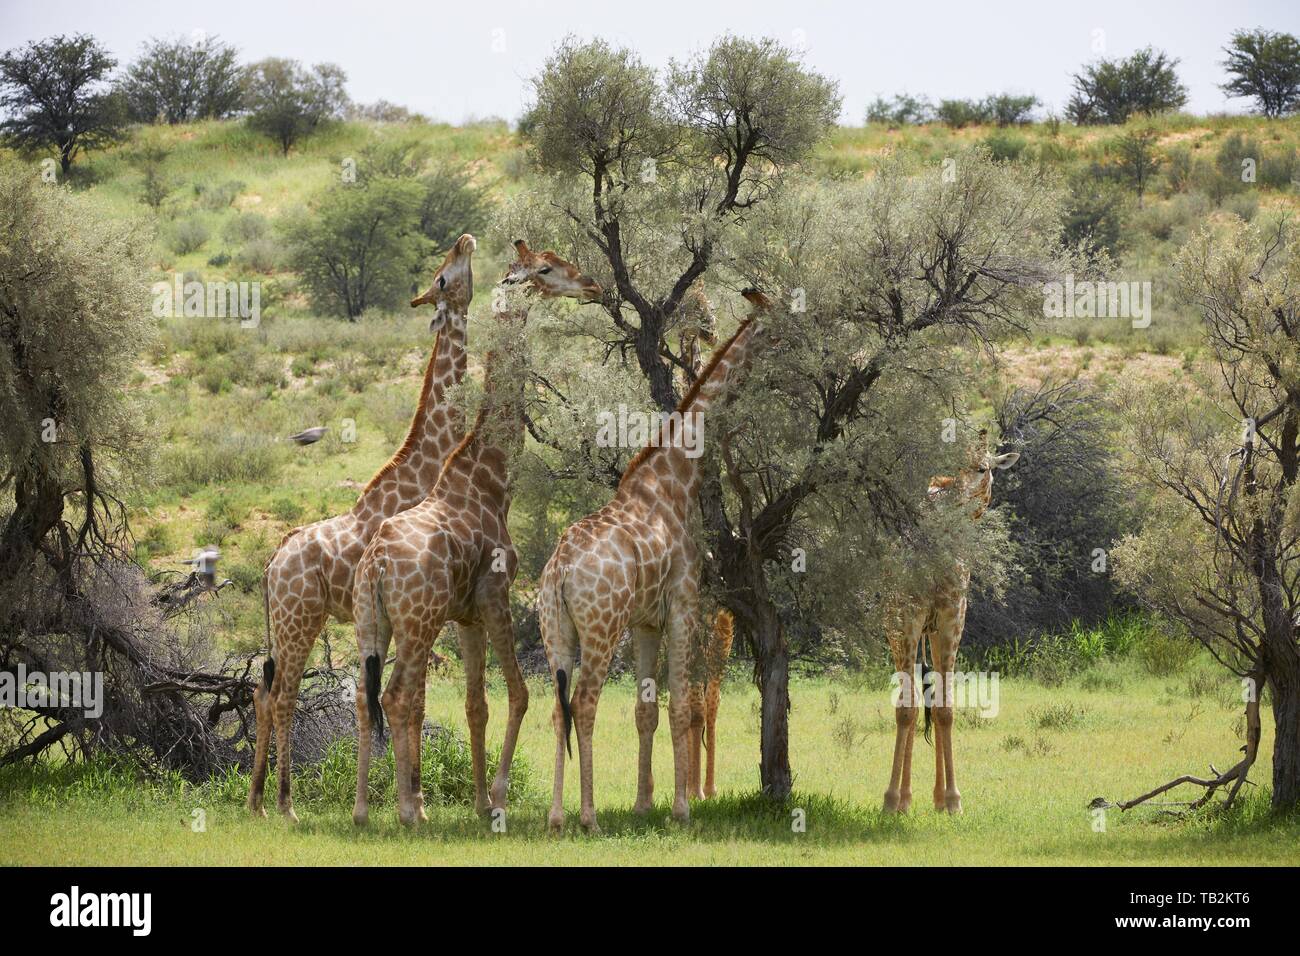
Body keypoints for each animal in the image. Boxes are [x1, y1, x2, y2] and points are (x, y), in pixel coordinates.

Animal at [248, 234, 477, 821]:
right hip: (300, 618)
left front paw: (399, 801)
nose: (463, 239)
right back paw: (285, 804)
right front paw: (405, 802)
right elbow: (395, 697)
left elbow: (388, 698)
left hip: (286, 622)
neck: (424, 471)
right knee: (282, 695)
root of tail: (270, 565)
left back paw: (257, 801)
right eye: (443, 277)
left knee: (262, 692)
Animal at [351, 240, 602, 827]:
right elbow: (519, 693)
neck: (491, 476)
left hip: (374, 623)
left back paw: (364, 810)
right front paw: (500, 800)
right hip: (417, 623)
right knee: (397, 696)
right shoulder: (496, 593)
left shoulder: (465, 615)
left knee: (368, 698)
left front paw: (479, 800)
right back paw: (409, 811)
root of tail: (375, 563)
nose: (593, 284)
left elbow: (476, 703)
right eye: (547, 268)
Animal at [538, 289, 776, 833]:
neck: (676, 475)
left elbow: (645, 711)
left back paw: (557, 817)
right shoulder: (683, 603)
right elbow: (681, 706)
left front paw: (644, 804)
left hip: (555, 630)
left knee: (559, 709)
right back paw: (589, 817)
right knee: (584, 704)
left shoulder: (645, 622)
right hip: (601, 629)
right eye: (775, 323)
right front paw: (680, 809)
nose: (712, 331)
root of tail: (559, 571)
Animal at [882, 432, 1019, 815]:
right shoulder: (909, 617)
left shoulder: (952, 618)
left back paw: (930, 796)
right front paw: (891, 800)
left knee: (929, 696)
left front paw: (952, 800)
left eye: (984, 467)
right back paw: (904, 798)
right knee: (911, 703)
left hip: (930, 632)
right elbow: (906, 709)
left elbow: (945, 708)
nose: (958, 499)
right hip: (897, 627)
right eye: (956, 464)